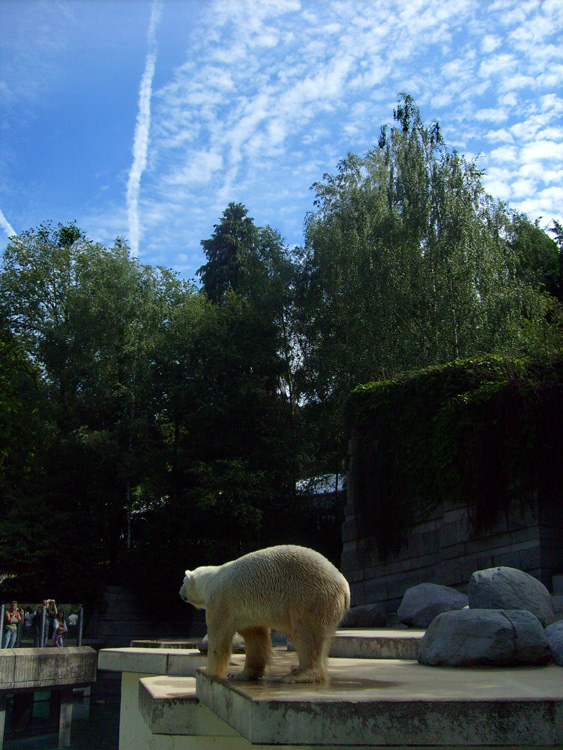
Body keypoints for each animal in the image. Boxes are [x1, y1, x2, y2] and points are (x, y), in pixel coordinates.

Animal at [180, 544, 348, 684]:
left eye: (182, 581)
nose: (180, 593)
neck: (209, 579)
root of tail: (344, 587)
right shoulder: (245, 611)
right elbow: (255, 638)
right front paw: (240, 674)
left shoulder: (221, 600)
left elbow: (219, 636)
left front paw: (210, 672)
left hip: (309, 596)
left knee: (307, 634)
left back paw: (297, 675)